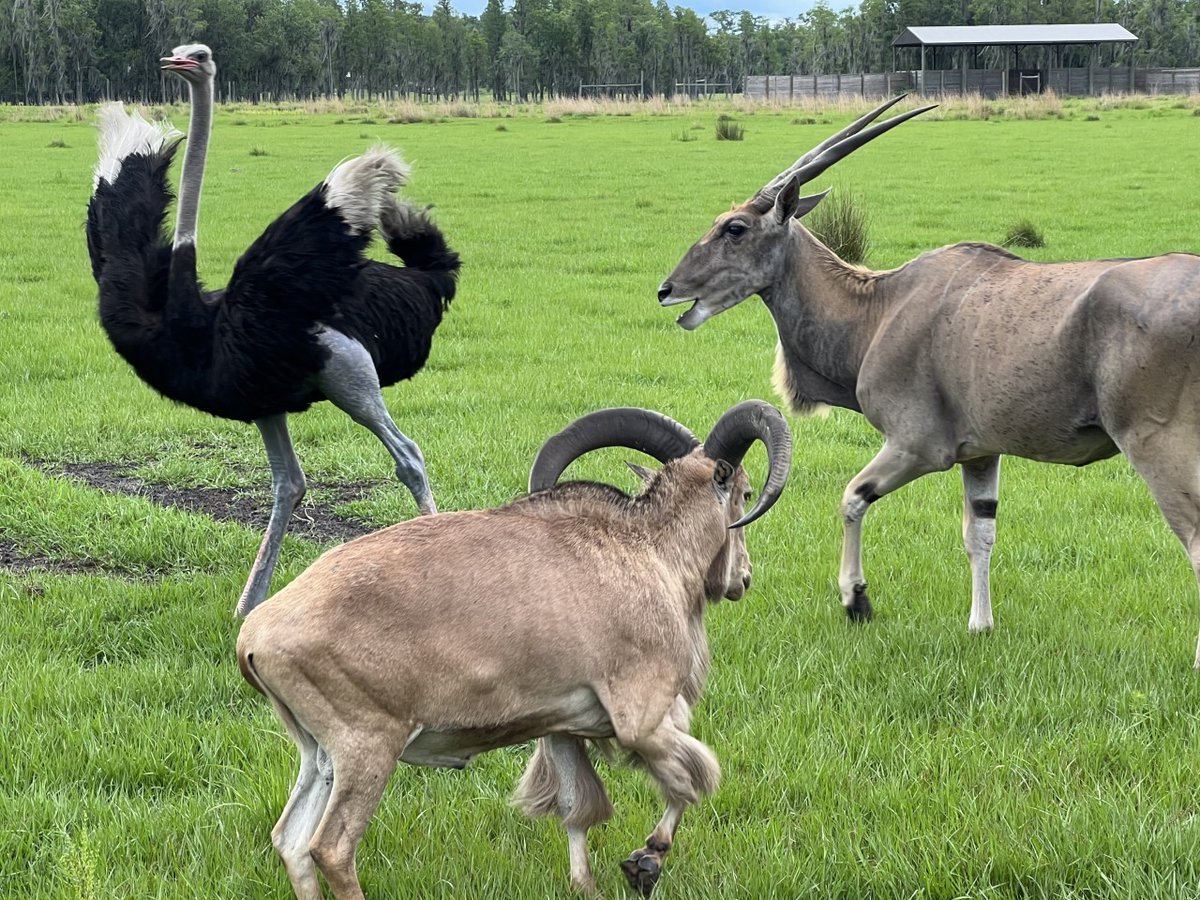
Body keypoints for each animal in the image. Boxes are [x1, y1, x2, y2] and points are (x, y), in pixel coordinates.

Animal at [236, 400, 792, 898]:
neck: (648, 550)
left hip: (319, 753)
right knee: (330, 848)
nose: (743, 579)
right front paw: (646, 861)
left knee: (290, 841)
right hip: (367, 744)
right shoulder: (643, 715)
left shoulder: (563, 725)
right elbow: (688, 780)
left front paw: (587, 885)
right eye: (744, 492)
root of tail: (254, 636)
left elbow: (577, 809)